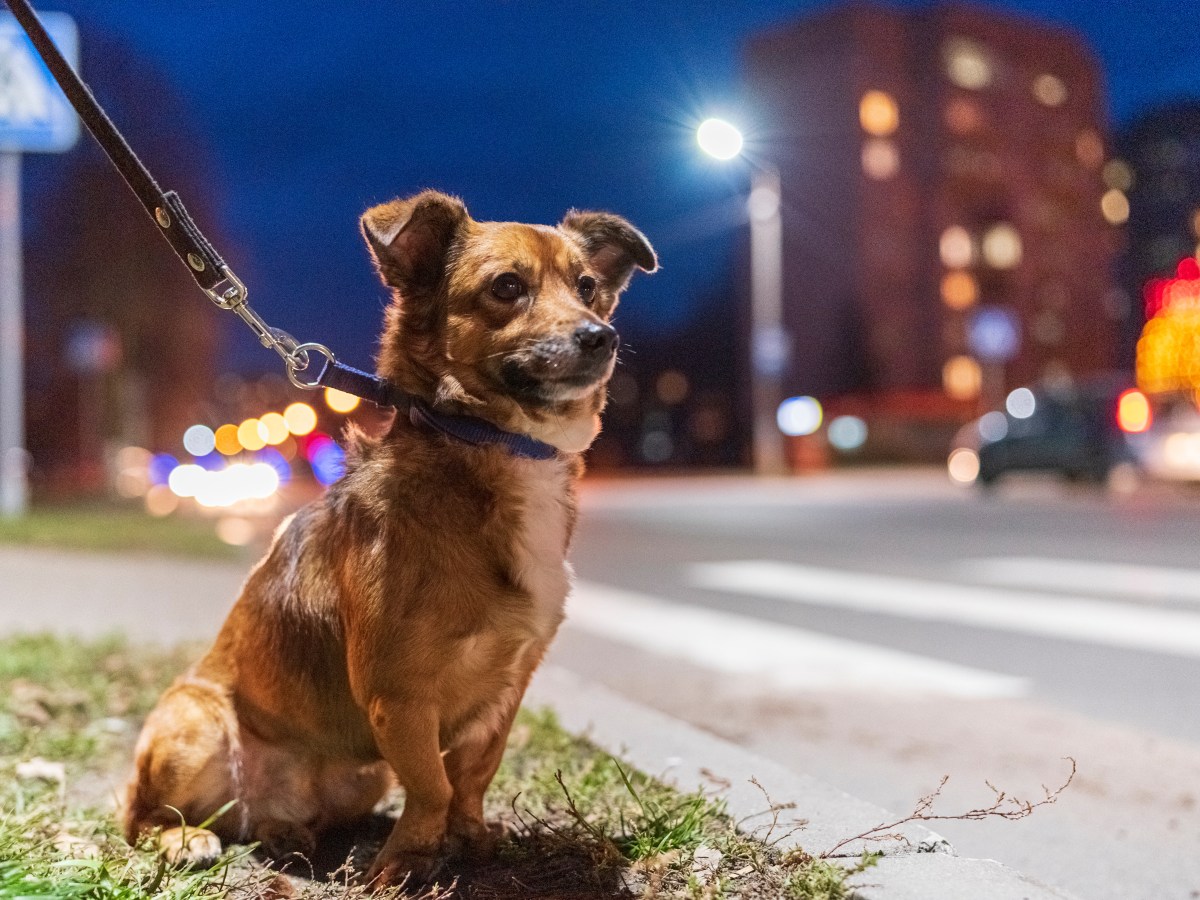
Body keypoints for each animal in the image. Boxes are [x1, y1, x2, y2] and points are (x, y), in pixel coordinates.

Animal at [124, 192, 657, 888]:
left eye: (588, 287)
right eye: (506, 287)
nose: (601, 336)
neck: (493, 447)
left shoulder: (507, 691)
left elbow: (471, 776)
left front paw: (469, 837)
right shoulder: (398, 695)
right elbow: (431, 783)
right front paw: (408, 861)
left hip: (362, 778)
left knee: (277, 819)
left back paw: (285, 832)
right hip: (194, 722)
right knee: (140, 818)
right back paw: (185, 839)